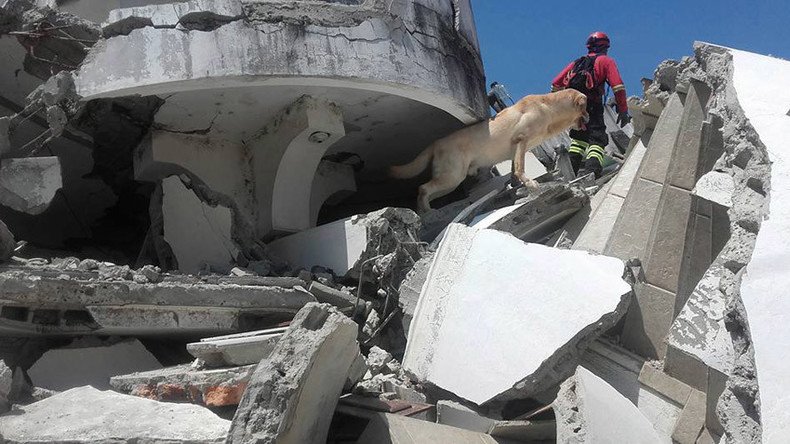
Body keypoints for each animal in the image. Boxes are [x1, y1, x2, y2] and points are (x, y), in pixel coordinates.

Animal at [388, 89, 588, 213]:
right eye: (587, 107)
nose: (589, 118)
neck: (549, 107)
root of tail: (436, 142)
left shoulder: (517, 149)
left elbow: (515, 170)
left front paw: (516, 185)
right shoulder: (521, 140)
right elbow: (520, 167)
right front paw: (529, 183)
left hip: (450, 181)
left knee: (425, 192)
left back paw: (422, 211)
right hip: (452, 177)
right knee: (423, 188)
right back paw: (428, 211)